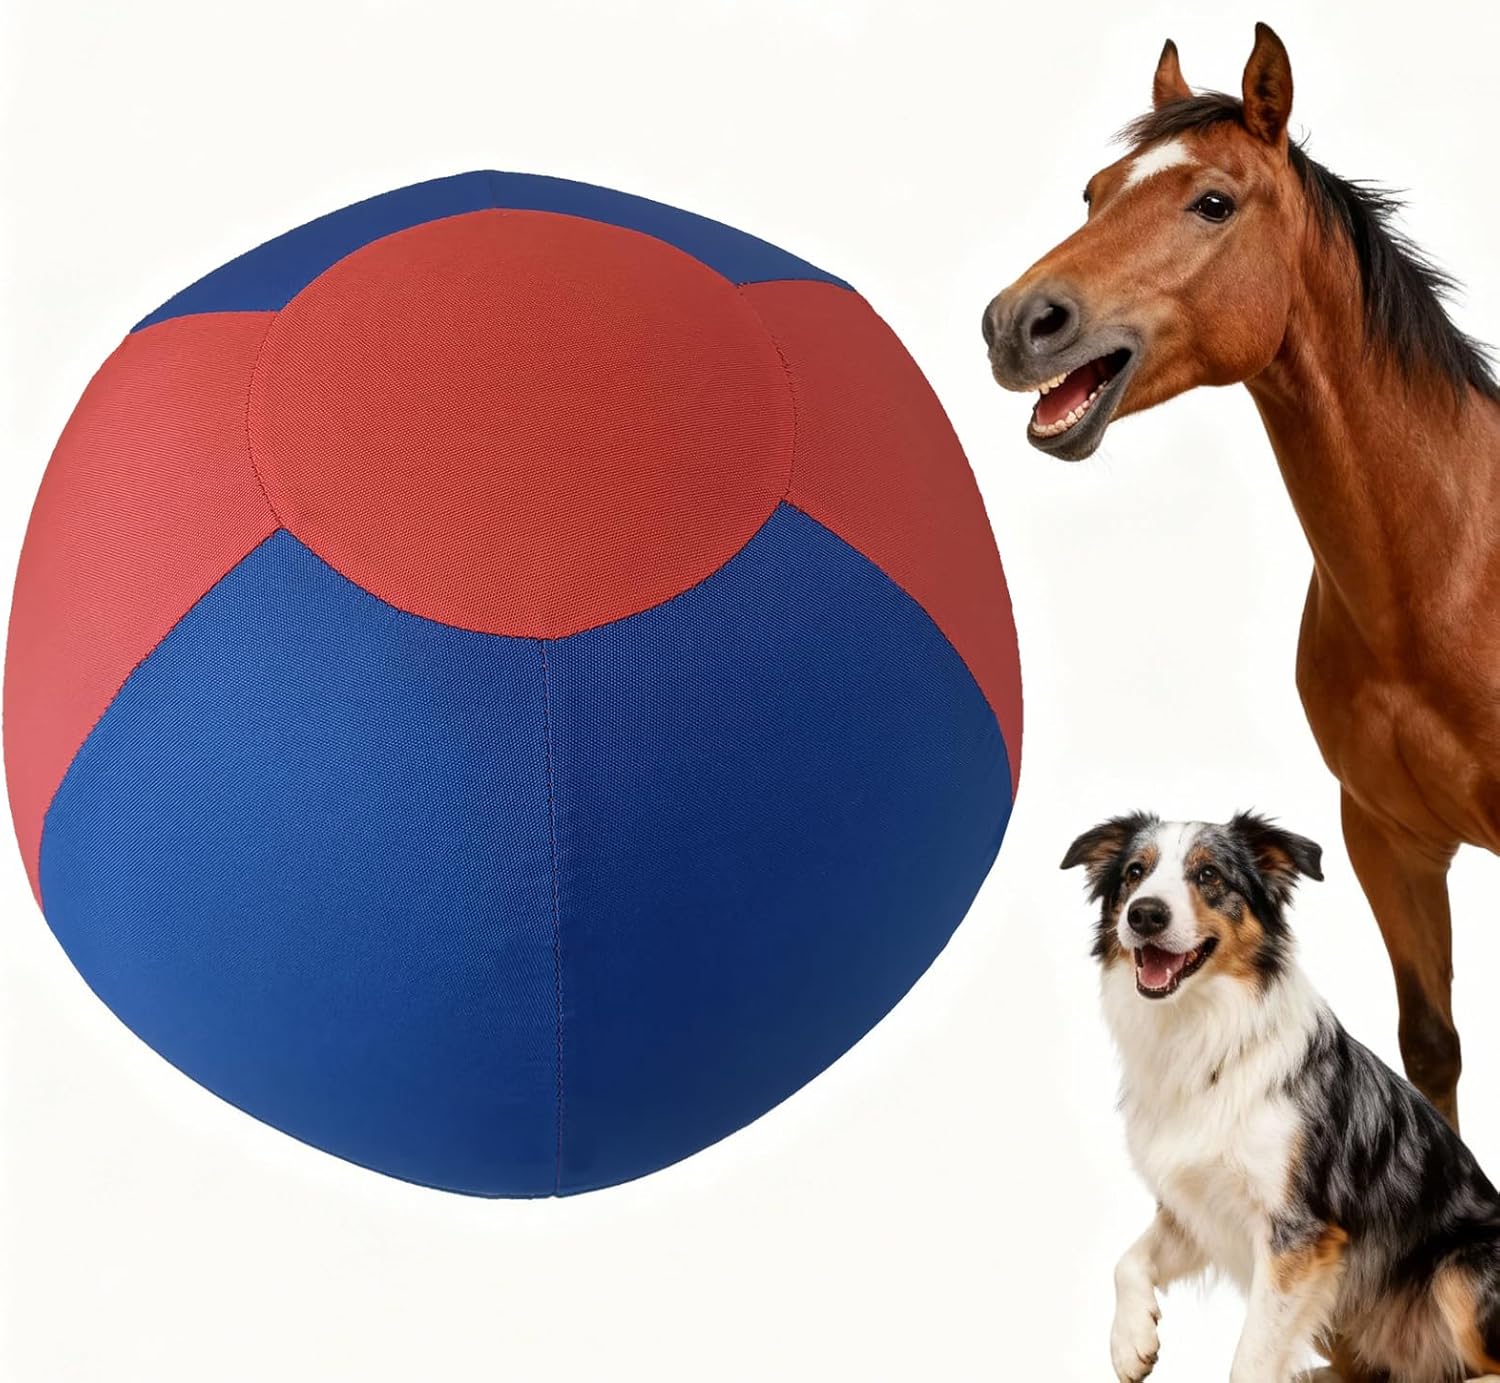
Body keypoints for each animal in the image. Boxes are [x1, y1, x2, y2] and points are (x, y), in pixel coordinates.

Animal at [983, 22, 1500, 1132]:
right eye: (1094, 192)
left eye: (1213, 202)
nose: (1017, 323)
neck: (1453, 571)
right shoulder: (1386, 839)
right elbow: (1431, 1046)